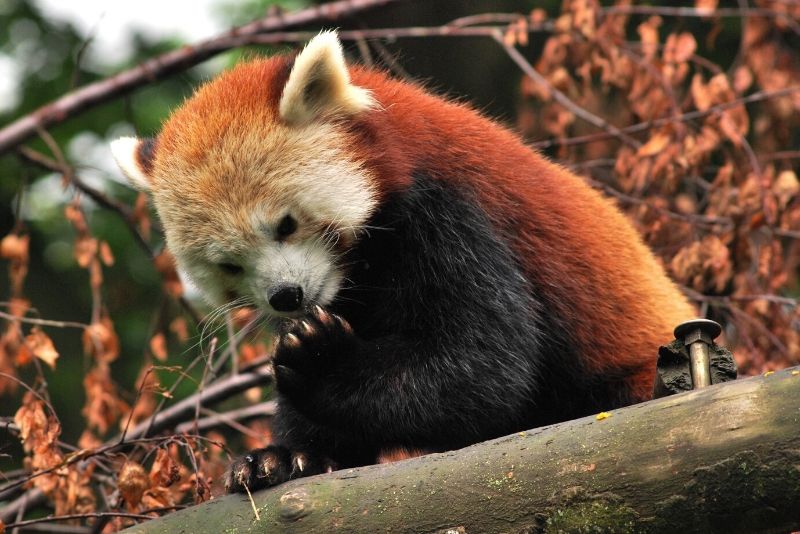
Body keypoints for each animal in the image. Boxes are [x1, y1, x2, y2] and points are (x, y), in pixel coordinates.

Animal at [109, 32, 696, 494]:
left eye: (285, 225)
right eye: (230, 265)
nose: (286, 297)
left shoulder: (448, 216)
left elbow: (483, 368)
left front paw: (322, 361)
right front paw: (285, 456)